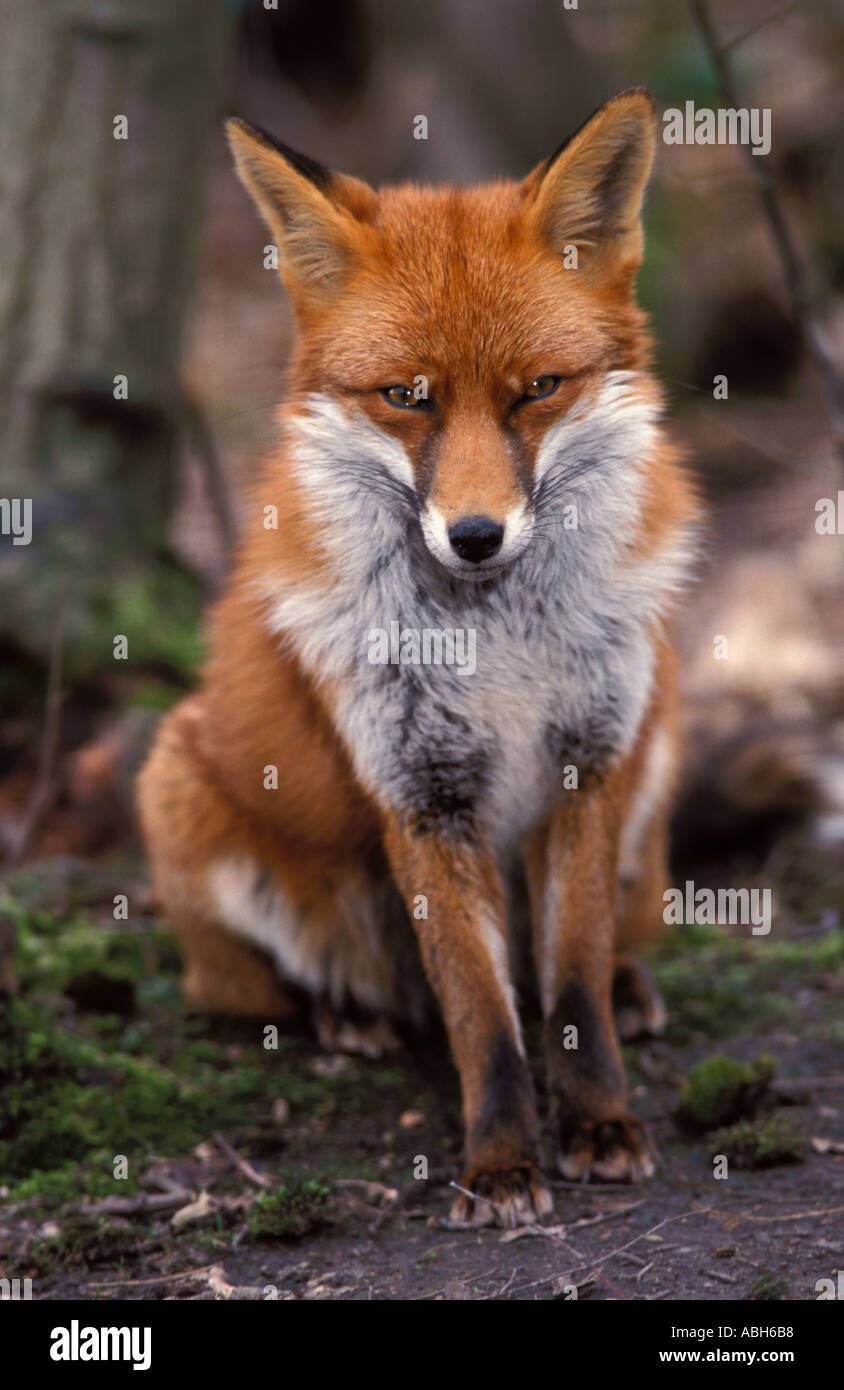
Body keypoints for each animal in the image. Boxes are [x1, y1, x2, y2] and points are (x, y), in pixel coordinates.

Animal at [137, 89, 699, 1228]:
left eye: (537, 388)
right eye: (406, 396)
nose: (476, 536)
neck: (500, 645)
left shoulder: (588, 764)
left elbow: (571, 983)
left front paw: (600, 1123)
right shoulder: (421, 794)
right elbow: (481, 1011)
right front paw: (502, 1164)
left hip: (659, 738)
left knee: (618, 936)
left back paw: (631, 982)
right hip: (181, 788)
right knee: (247, 983)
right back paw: (341, 1013)